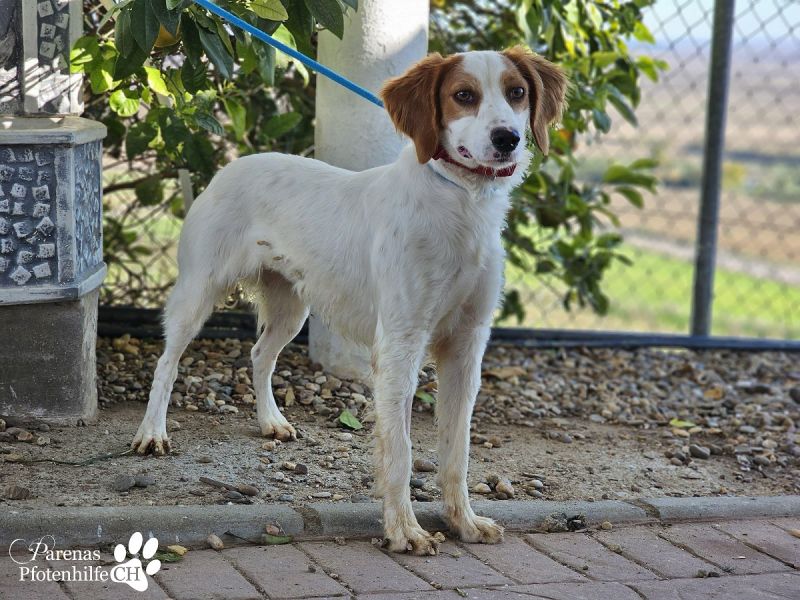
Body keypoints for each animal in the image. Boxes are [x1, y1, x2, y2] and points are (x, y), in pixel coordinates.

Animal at [132, 46, 567, 555]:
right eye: (464, 95)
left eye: (516, 92)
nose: (508, 138)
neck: (460, 201)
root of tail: (230, 166)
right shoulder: (400, 344)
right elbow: (400, 452)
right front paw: (405, 530)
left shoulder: (466, 346)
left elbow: (456, 452)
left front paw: (464, 520)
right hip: (198, 291)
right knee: (167, 363)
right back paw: (152, 433)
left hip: (291, 308)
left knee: (260, 354)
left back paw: (270, 421)